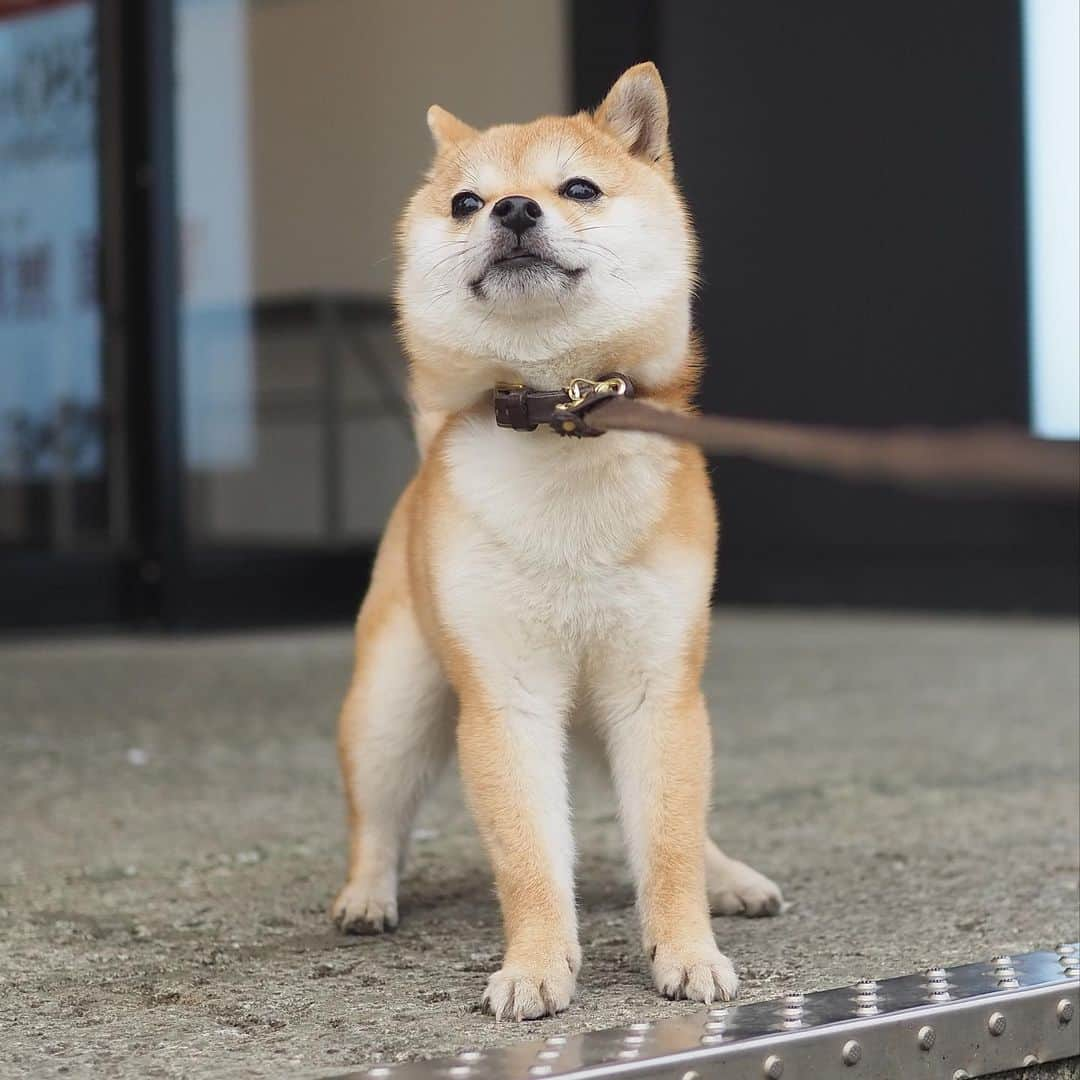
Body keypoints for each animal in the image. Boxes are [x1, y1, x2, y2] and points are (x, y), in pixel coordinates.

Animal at [332, 63, 781, 1015]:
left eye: (578, 188)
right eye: (465, 202)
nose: (511, 210)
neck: (562, 413)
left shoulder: (656, 695)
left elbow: (668, 844)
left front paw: (687, 948)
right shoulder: (507, 701)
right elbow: (532, 856)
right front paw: (536, 964)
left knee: (685, 825)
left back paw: (730, 878)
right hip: (392, 708)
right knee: (378, 818)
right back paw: (365, 895)